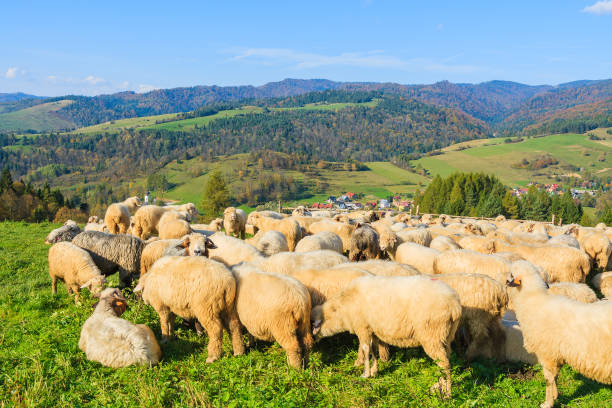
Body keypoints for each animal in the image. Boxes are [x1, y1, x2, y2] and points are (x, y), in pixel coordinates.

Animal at [310, 274, 460, 396]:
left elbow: (365, 350)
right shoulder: (372, 330)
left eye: (311, 324)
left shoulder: (363, 328)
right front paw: (374, 370)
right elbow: (373, 350)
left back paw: (447, 393)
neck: (342, 309)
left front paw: (365, 374)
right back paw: (438, 386)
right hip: (446, 336)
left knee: (444, 363)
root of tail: (455, 306)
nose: (311, 343)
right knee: (445, 360)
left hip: (432, 334)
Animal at [504, 262, 612, 408]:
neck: (533, 301)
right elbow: (555, 377)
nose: (505, 280)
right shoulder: (556, 354)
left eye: (511, 274)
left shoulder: (547, 353)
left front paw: (548, 402)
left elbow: (548, 379)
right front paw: (555, 396)